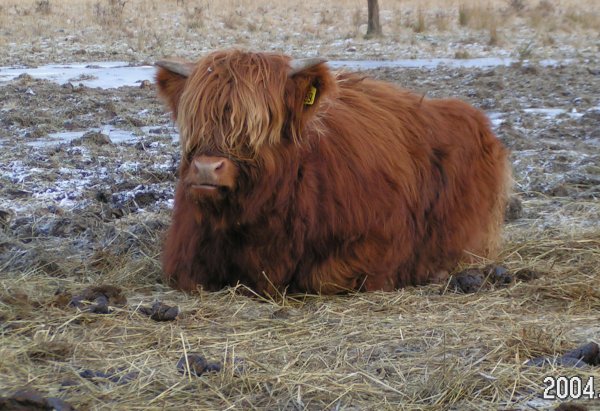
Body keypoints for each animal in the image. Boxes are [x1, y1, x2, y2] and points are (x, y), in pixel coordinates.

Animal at [156, 50, 510, 296]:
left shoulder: (378, 241)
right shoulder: (184, 257)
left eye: (256, 126)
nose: (207, 168)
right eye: (195, 121)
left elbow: (323, 278)